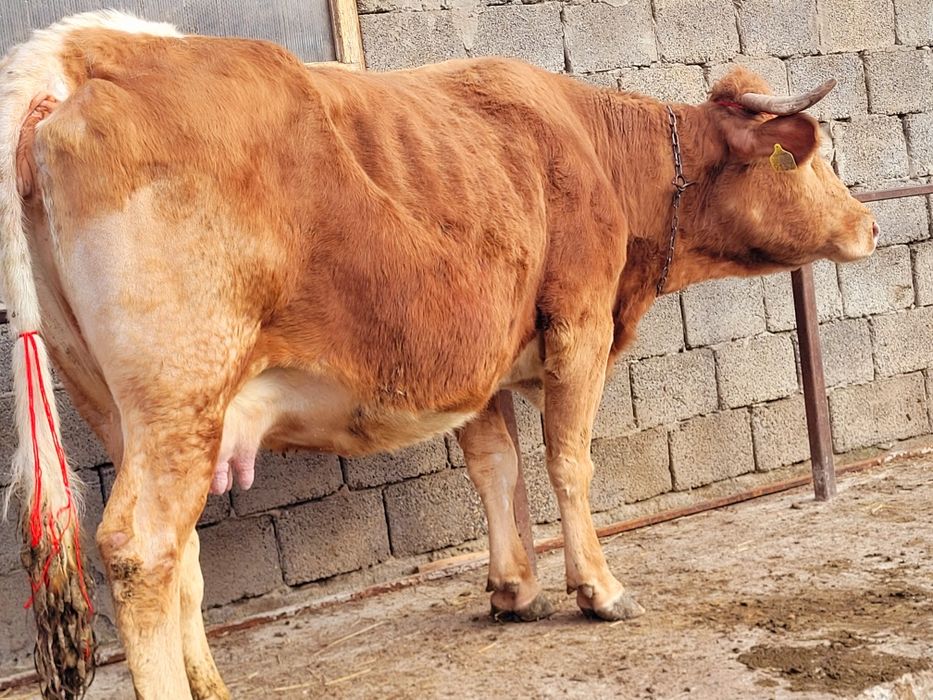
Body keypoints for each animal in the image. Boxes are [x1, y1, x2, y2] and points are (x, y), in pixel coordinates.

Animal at [0, 10, 877, 699]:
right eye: (814, 158)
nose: (868, 224)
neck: (597, 152)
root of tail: (89, 44)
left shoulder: (481, 354)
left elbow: (495, 465)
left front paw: (514, 590)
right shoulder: (579, 325)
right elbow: (568, 461)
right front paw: (596, 589)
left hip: (116, 403)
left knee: (179, 550)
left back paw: (212, 685)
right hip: (179, 389)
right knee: (140, 548)